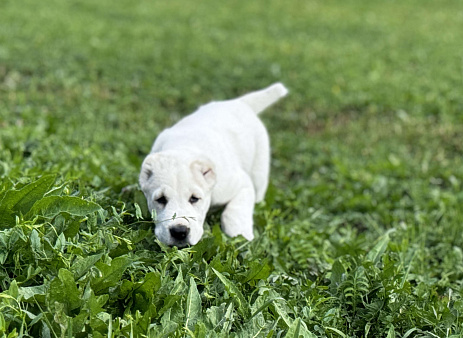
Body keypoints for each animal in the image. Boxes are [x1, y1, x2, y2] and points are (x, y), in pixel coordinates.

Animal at [140, 82, 288, 246]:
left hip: (258, 171)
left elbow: (233, 212)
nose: (179, 231)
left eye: (194, 199)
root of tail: (240, 102)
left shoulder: (242, 185)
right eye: (160, 199)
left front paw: (241, 235)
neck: (183, 146)